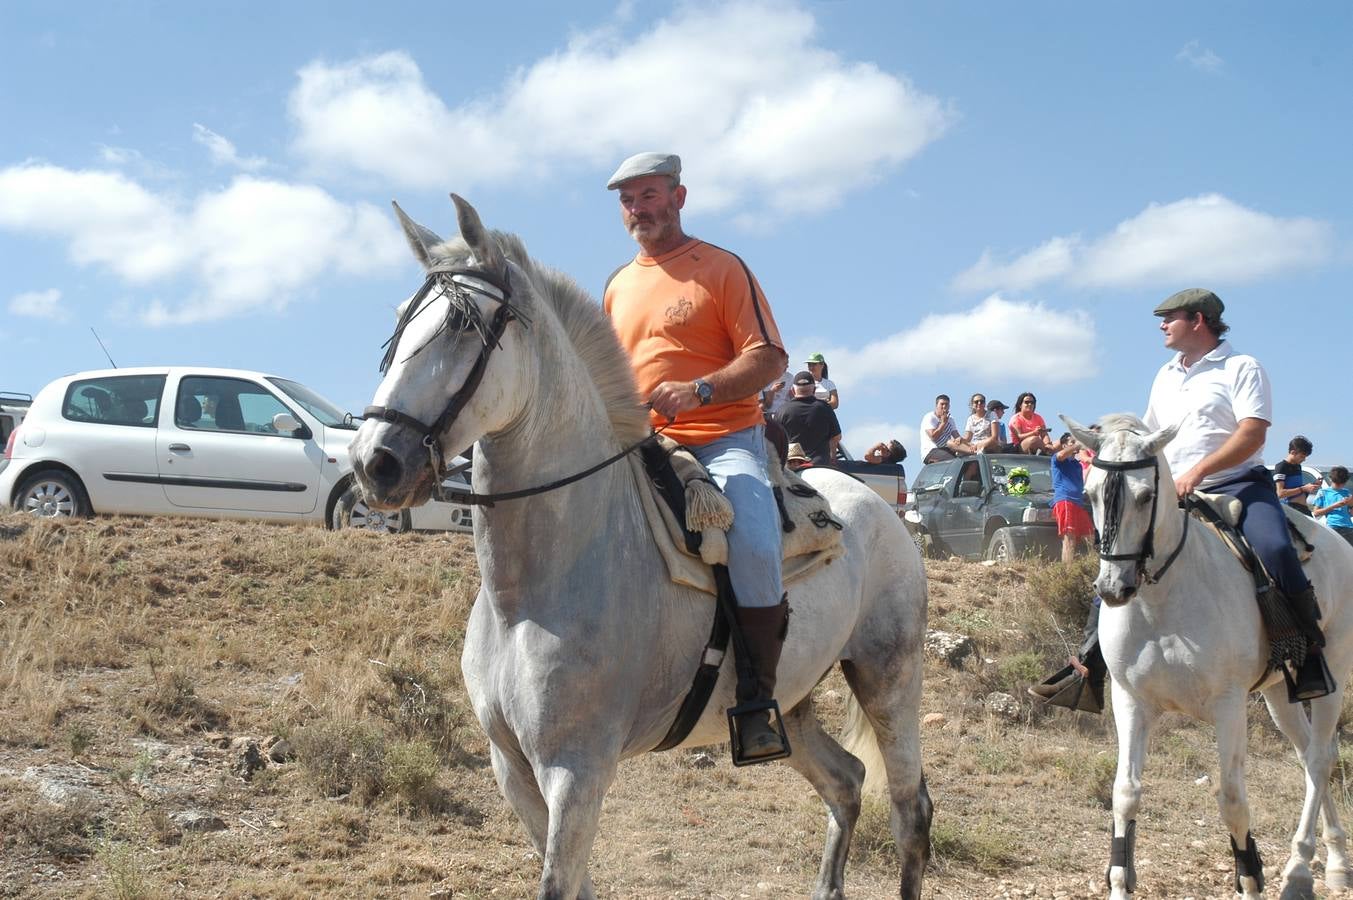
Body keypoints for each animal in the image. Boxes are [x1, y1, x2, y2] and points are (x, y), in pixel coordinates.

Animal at [349, 196, 930, 898]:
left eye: (465, 323)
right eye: (399, 325)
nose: (375, 462)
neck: (537, 586)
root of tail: (876, 506)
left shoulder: (576, 772)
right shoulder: (513, 768)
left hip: (887, 677)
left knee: (908, 810)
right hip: (793, 703)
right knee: (846, 783)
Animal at [1066, 416, 1353, 898]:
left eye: (1145, 496)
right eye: (1089, 493)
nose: (1112, 589)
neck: (1163, 598)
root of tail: (1340, 543)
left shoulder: (1228, 705)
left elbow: (1233, 800)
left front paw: (1250, 877)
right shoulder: (1130, 700)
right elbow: (1125, 792)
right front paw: (1120, 880)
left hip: (1331, 674)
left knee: (1319, 758)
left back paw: (1299, 869)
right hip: (1279, 693)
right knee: (1307, 753)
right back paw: (1334, 860)